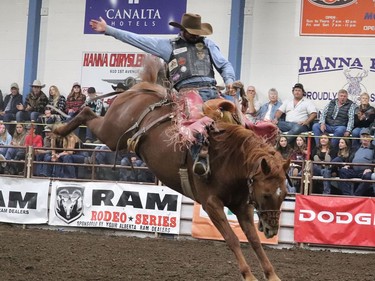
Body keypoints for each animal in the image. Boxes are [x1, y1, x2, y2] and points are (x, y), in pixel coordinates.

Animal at [54, 55, 290, 278]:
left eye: (284, 193)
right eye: (267, 193)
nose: (271, 229)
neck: (230, 158)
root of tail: (144, 88)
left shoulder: (242, 205)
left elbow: (253, 240)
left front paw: (272, 274)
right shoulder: (211, 204)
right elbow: (232, 239)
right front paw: (248, 275)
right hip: (112, 132)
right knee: (86, 112)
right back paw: (58, 129)